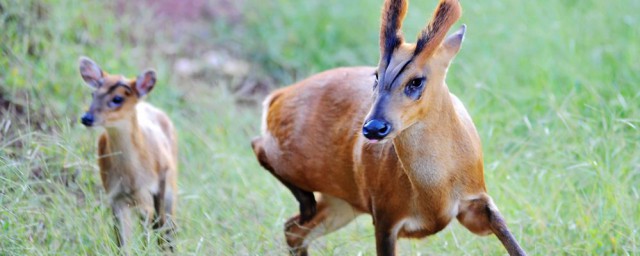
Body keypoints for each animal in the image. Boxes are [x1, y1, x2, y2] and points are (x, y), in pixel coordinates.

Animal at [80, 56, 180, 252]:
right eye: (93, 94)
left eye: (118, 98)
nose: (86, 118)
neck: (130, 177)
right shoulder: (115, 196)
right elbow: (122, 243)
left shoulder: (148, 194)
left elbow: (148, 235)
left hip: (169, 187)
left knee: (166, 228)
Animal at [250, 0, 524, 255]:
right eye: (376, 75)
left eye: (416, 81)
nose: (374, 128)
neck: (434, 192)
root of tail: (277, 96)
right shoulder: (384, 216)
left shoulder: (475, 202)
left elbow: (511, 241)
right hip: (300, 164)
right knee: (259, 147)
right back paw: (306, 201)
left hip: (341, 203)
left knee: (293, 229)